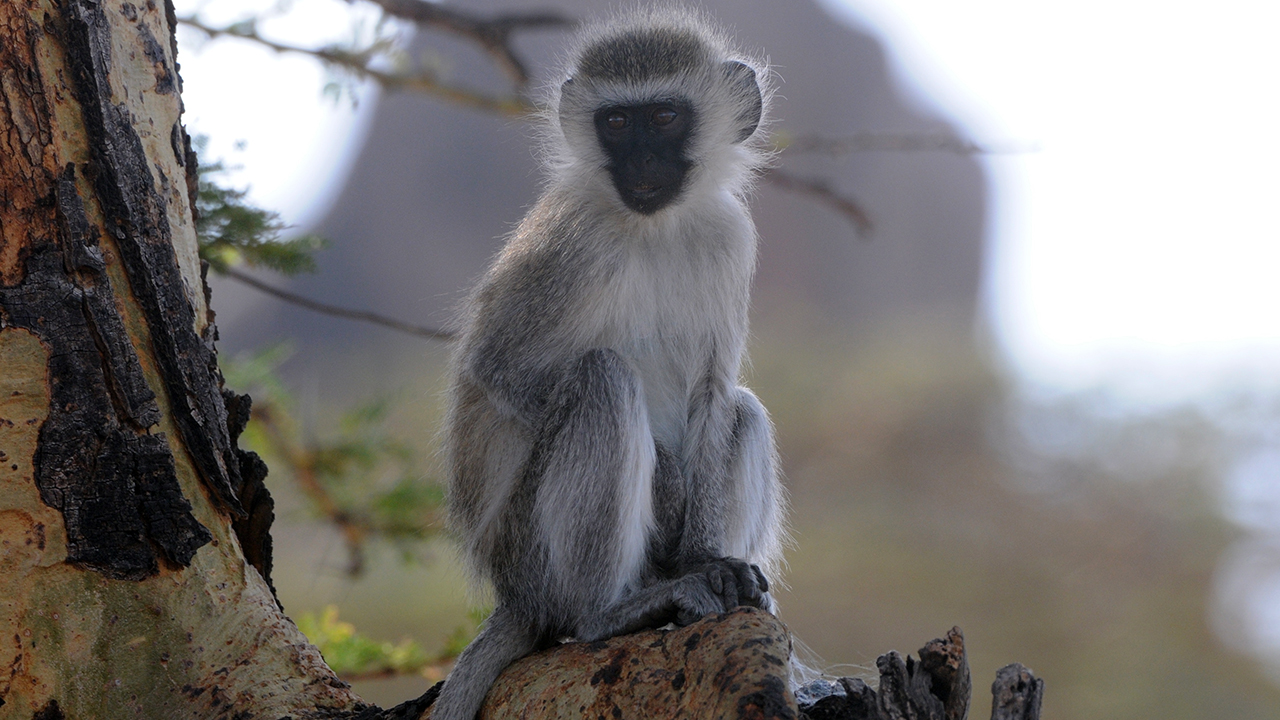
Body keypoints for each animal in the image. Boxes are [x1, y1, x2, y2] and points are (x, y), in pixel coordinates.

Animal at [432, 8, 785, 719]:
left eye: (665, 117)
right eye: (617, 122)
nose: (643, 159)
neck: (654, 226)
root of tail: (513, 595)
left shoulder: (730, 237)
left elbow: (712, 392)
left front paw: (706, 556)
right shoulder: (571, 245)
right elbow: (495, 366)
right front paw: (670, 485)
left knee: (744, 409)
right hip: (534, 555)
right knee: (603, 378)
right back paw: (612, 613)